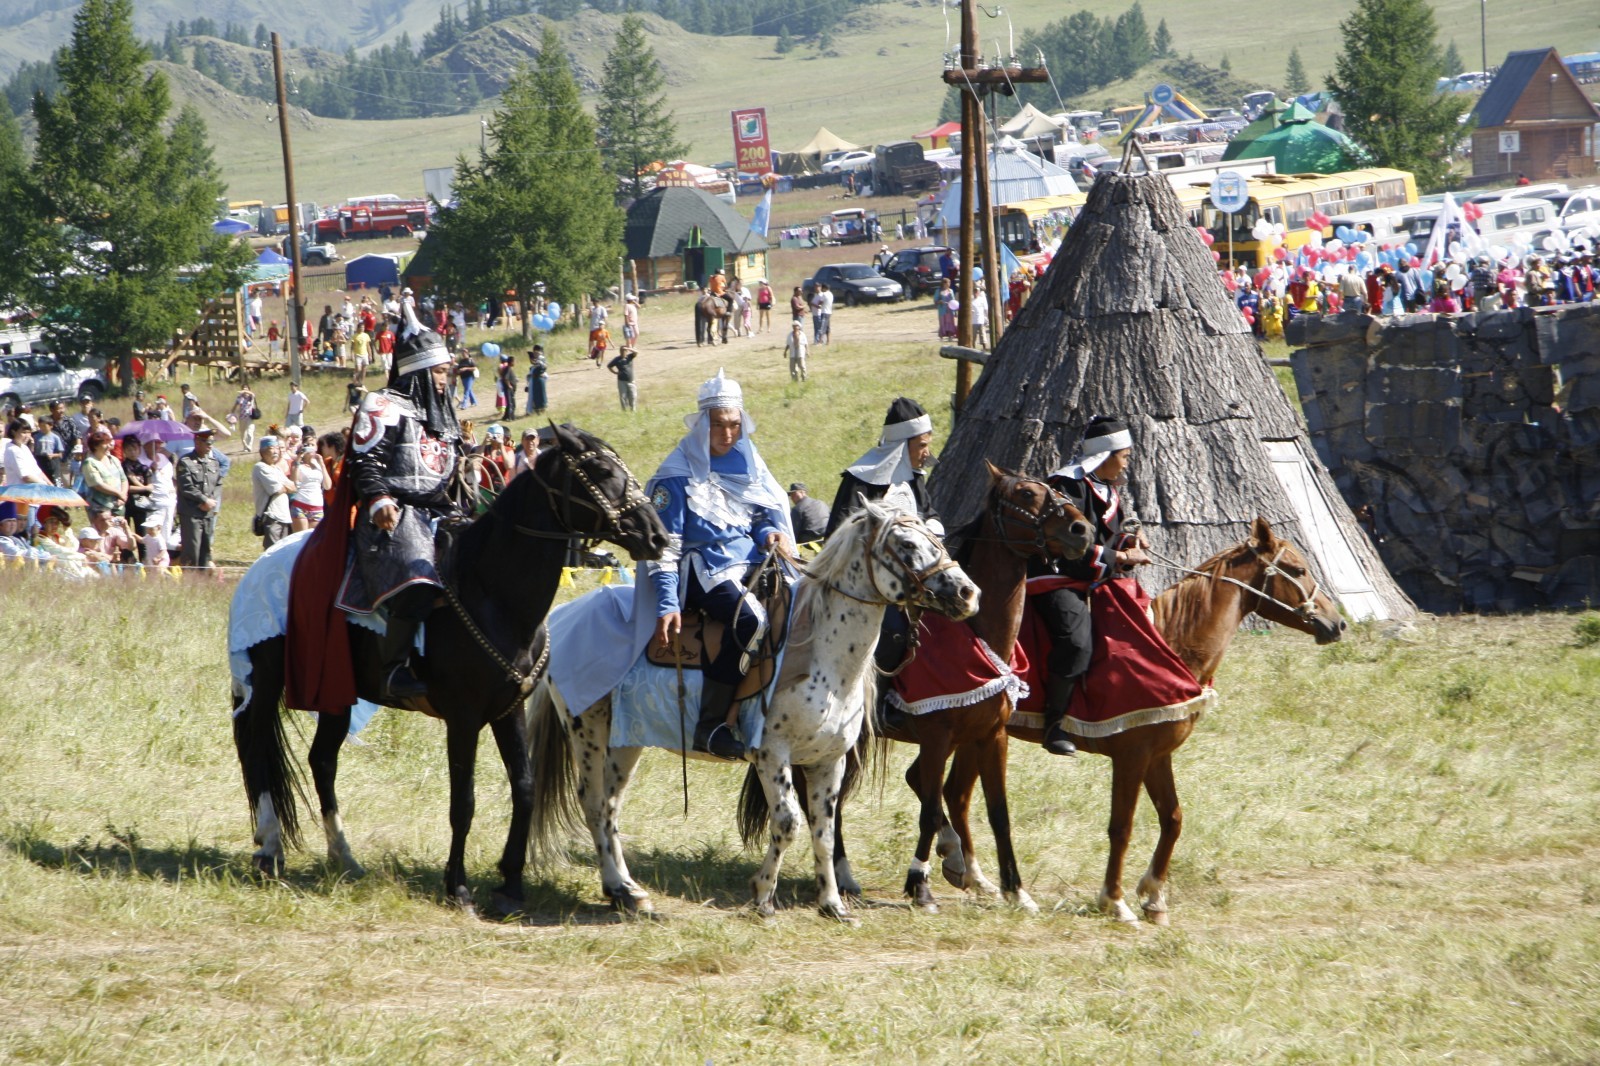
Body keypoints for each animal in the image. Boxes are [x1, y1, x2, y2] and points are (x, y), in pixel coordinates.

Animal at [1011, 515, 1350, 921]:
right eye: (1297, 569)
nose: (1337, 623)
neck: (1169, 638)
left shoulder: (1158, 755)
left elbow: (1172, 818)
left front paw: (1154, 896)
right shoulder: (1131, 756)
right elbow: (1121, 827)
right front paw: (1114, 900)